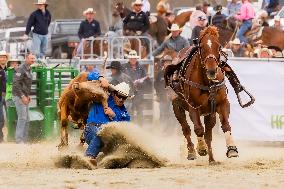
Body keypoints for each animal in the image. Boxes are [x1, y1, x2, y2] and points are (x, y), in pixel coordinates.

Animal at [168, 26, 239, 164]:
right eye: (201, 47)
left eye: (219, 46)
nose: (212, 70)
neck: (208, 82)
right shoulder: (193, 107)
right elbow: (198, 129)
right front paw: (201, 149)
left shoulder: (222, 104)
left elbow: (225, 125)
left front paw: (232, 149)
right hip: (177, 107)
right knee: (186, 129)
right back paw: (191, 152)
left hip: (209, 114)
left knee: (208, 134)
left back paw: (212, 159)